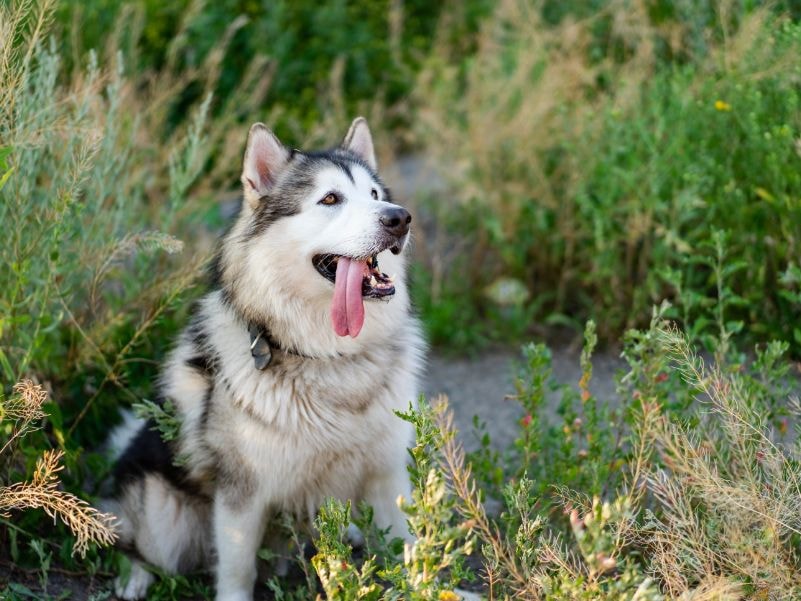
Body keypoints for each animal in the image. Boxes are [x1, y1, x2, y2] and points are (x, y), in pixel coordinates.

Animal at [106, 118, 424, 600]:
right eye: (330, 199)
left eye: (375, 194)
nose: (399, 217)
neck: (329, 357)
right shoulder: (243, 496)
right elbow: (237, 570)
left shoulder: (387, 476)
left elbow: (409, 553)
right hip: (163, 513)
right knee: (137, 547)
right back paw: (133, 580)